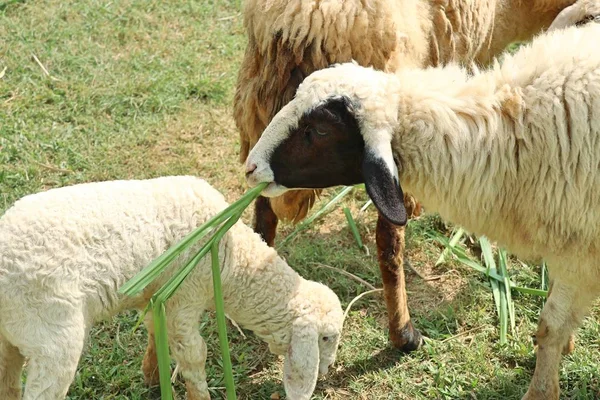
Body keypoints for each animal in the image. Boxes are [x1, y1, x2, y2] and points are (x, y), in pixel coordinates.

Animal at [0, 177, 344, 400]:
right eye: (326, 337)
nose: (327, 369)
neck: (234, 260)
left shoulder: (157, 296)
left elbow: (155, 330)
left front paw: (153, 376)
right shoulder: (184, 297)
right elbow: (193, 354)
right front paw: (199, 396)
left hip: (10, 338)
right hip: (52, 336)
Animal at [244, 22, 600, 400]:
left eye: (321, 129)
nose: (251, 167)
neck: (508, 136)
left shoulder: (578, 253)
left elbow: (549, 326)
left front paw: (542, 388)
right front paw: (568, 346)